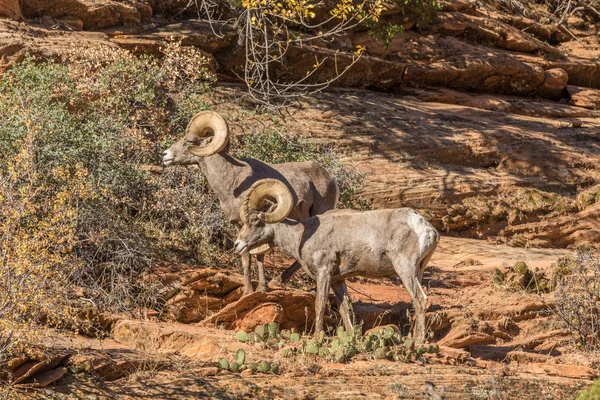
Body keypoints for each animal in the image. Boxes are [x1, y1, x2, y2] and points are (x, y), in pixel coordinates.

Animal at [162, 111, 340, 294]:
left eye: (189, 141)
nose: (165, 155)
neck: (231, 181)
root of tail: (331, 180)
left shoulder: (259, 220)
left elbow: (258, 254)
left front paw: (260, 288)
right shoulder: (238, 225)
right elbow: (246, 256)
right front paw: (248, 290)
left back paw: (280, 281)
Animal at [236, 180, 440, 342]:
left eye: (255, 220)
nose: (238, 245)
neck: (303, 234)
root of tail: (427, 229)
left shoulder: (324, 272)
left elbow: (320, 304)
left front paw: (317, 337)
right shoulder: (338, 280)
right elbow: (344, 309)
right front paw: (351, 338)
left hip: (405, 269)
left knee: (420, 299)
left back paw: (419, 341)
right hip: (418, 271)